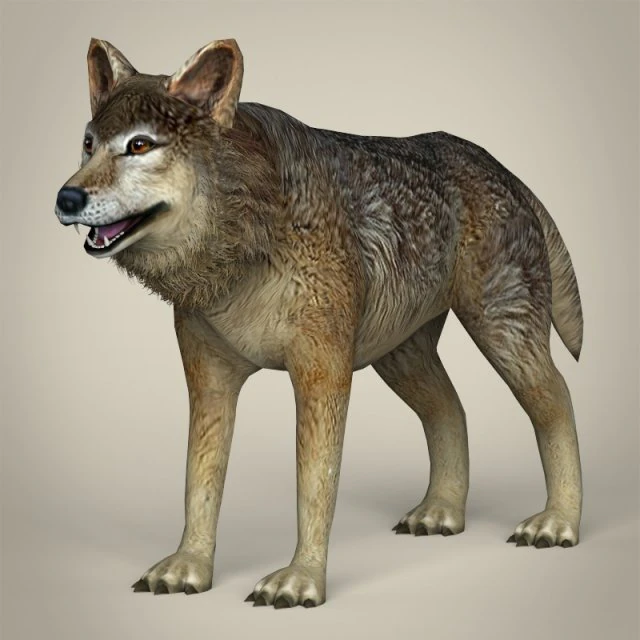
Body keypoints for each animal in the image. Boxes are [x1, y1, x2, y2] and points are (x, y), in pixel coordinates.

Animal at [54, 38, 584, 608]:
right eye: (88, 145)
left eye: (139, 146)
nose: (66, 198)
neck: (245, 239)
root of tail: (500, 168)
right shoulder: (209, 380)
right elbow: (200, 479)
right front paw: (189, 566)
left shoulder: (322, 375)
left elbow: (315, 483)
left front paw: (301, 578)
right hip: (402, 359)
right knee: (451, 411)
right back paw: (441, 512)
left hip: (500, 331)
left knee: (557, 399)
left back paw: (558, 523)